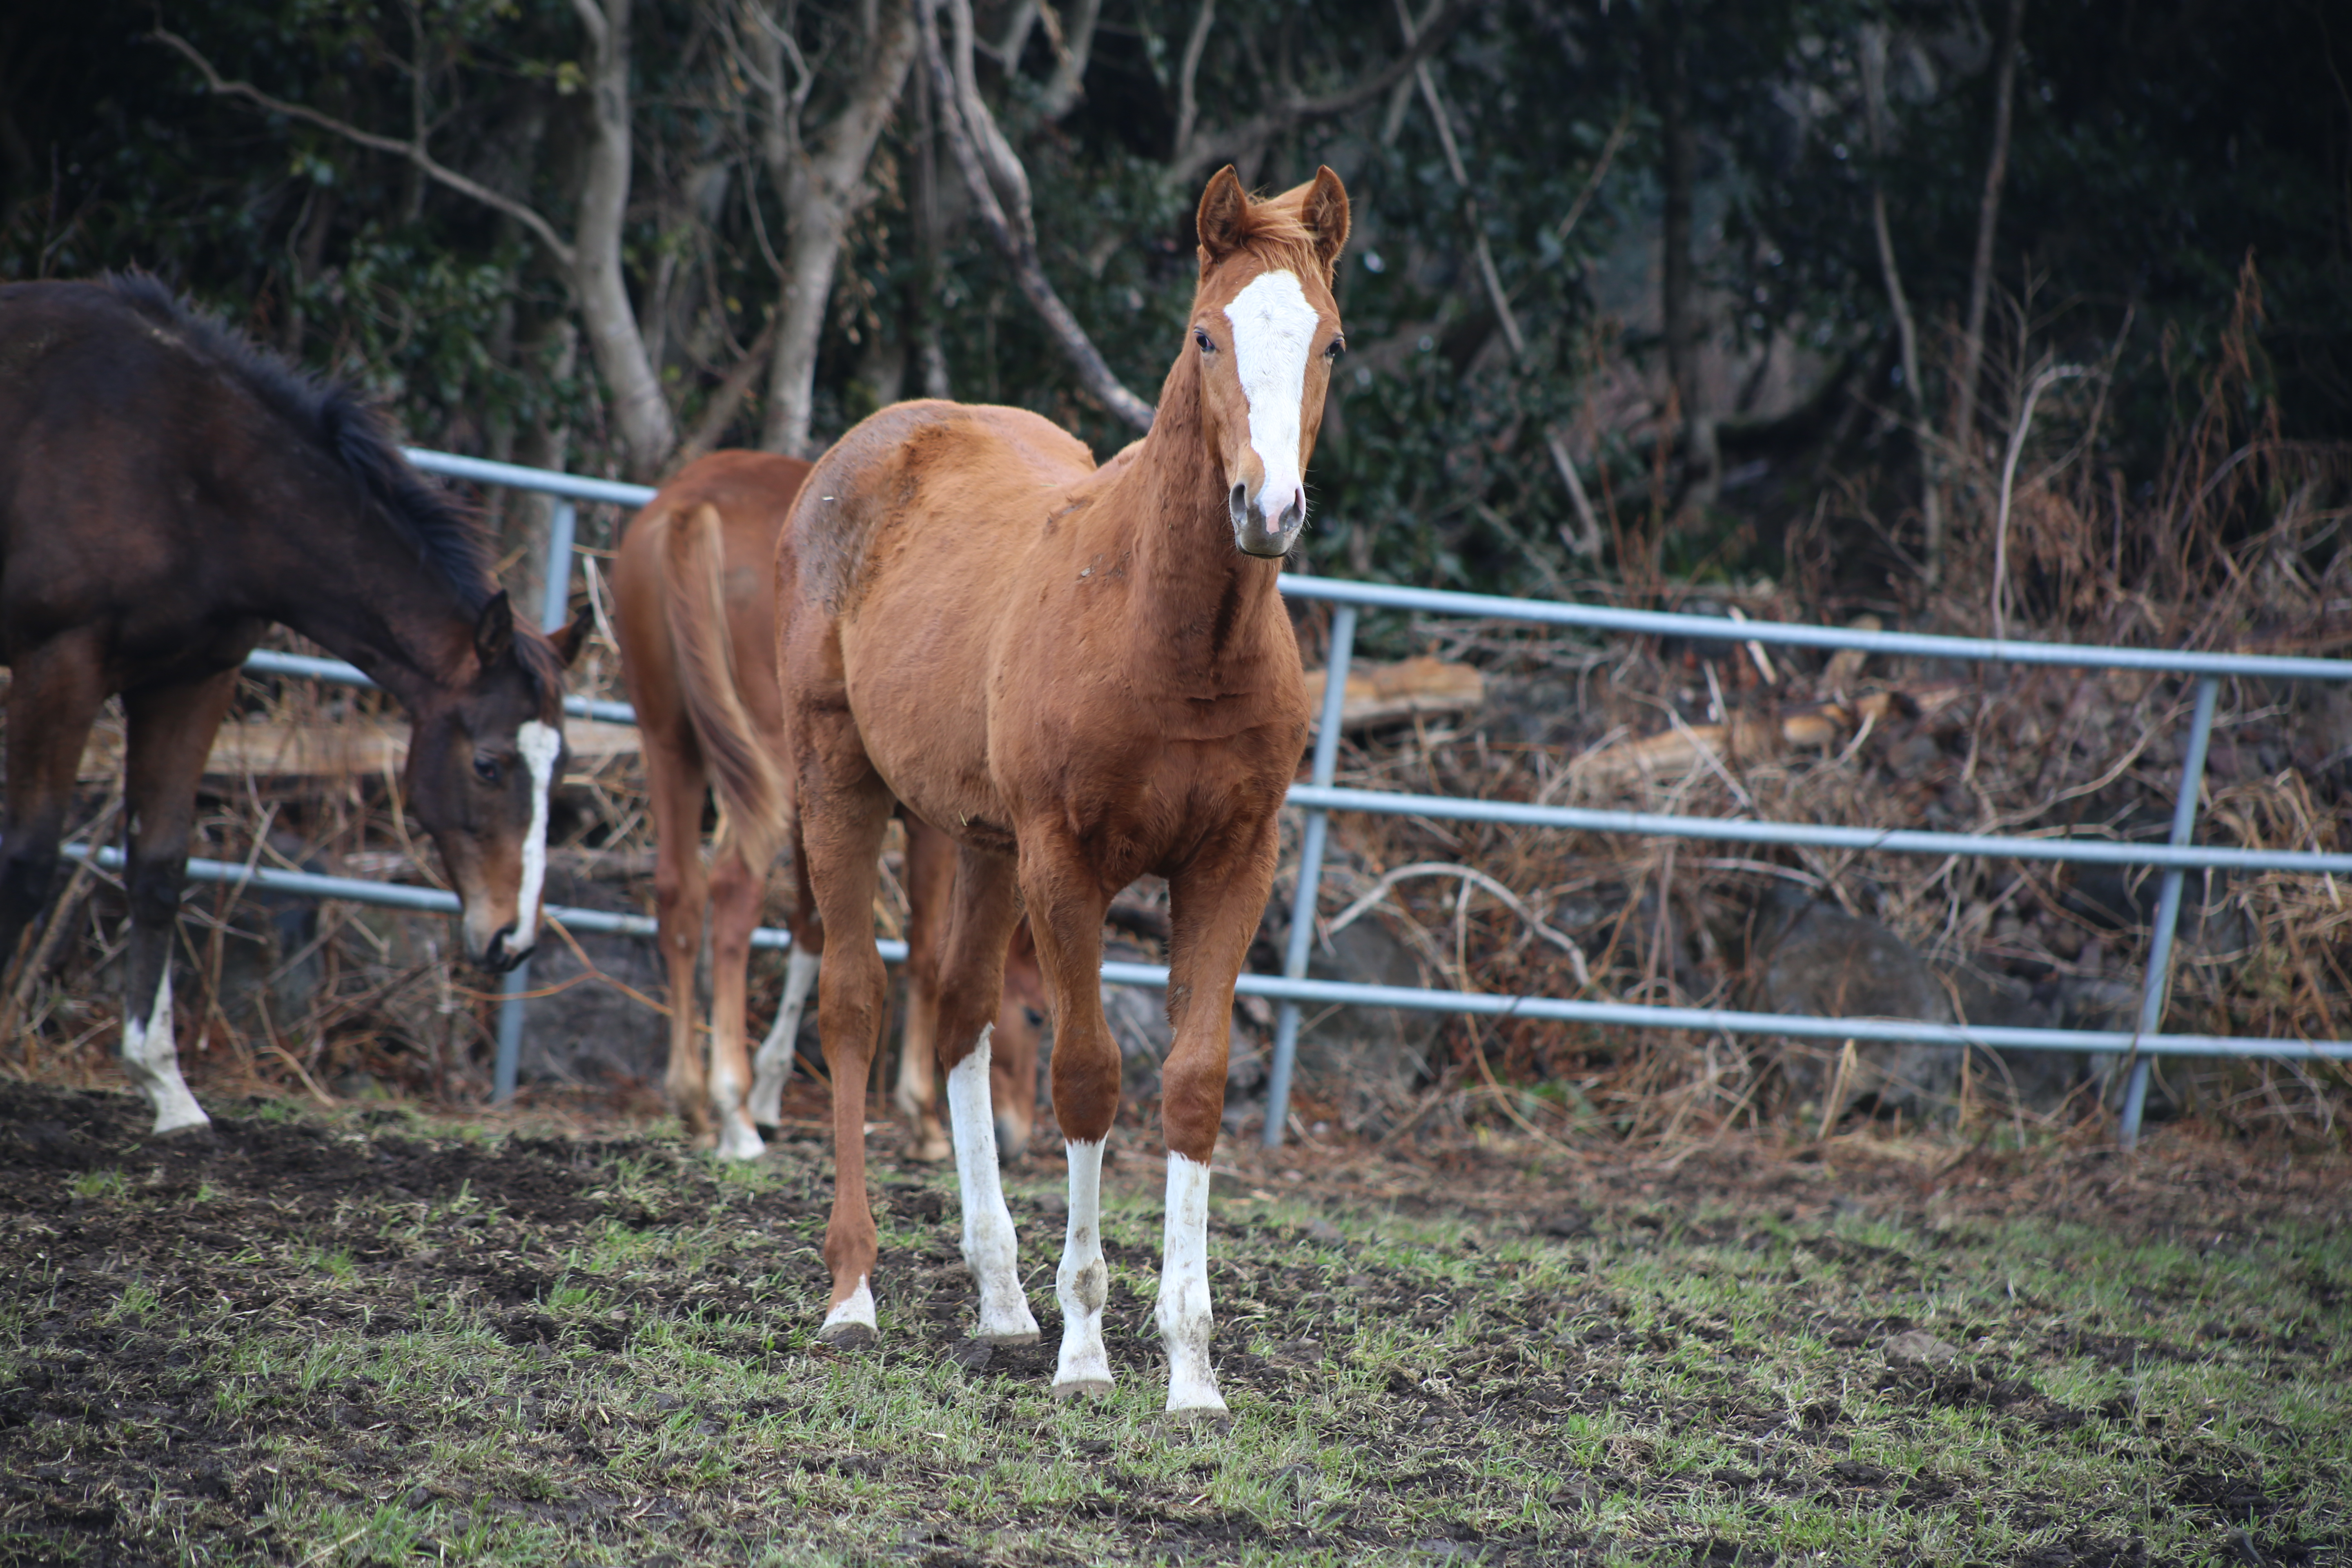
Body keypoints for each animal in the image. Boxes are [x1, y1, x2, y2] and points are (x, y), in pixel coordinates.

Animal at [0, 278, 583, 1128]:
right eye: (488, 764)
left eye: (560, 769)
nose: (514, 939)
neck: (187, 470)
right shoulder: (60, 662)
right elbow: (28, 860)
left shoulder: (192, 680)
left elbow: (160, 868)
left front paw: (167, 1089)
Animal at [607, 446, 1049, 1161]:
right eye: (1035, 1015)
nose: (1016, 1137)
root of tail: (692, 503)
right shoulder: (930, 829)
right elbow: (923, 951)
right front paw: (922, 1118)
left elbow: (812, 930)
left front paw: (771, 1091)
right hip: (760, 764)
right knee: (734, 888)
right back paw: (730, 1110)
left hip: (671, 746)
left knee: (680, 892)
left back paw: (695, 1098)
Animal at [781, 165, 1354, 1420]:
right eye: (1205, 335)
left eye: (1331, 342)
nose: (1267, 510)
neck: (1166, 633)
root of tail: (869, 445)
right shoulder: (1066, 862)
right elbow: (1086, 1077)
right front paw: (1087, 1352)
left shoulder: (1232, 862)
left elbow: (1192, 1082)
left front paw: (1191, 1372)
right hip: (839, 781)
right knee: (854, 1003)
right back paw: (851, 1297)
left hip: (982, 842)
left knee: (955, 1012)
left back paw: (1000, 1306)